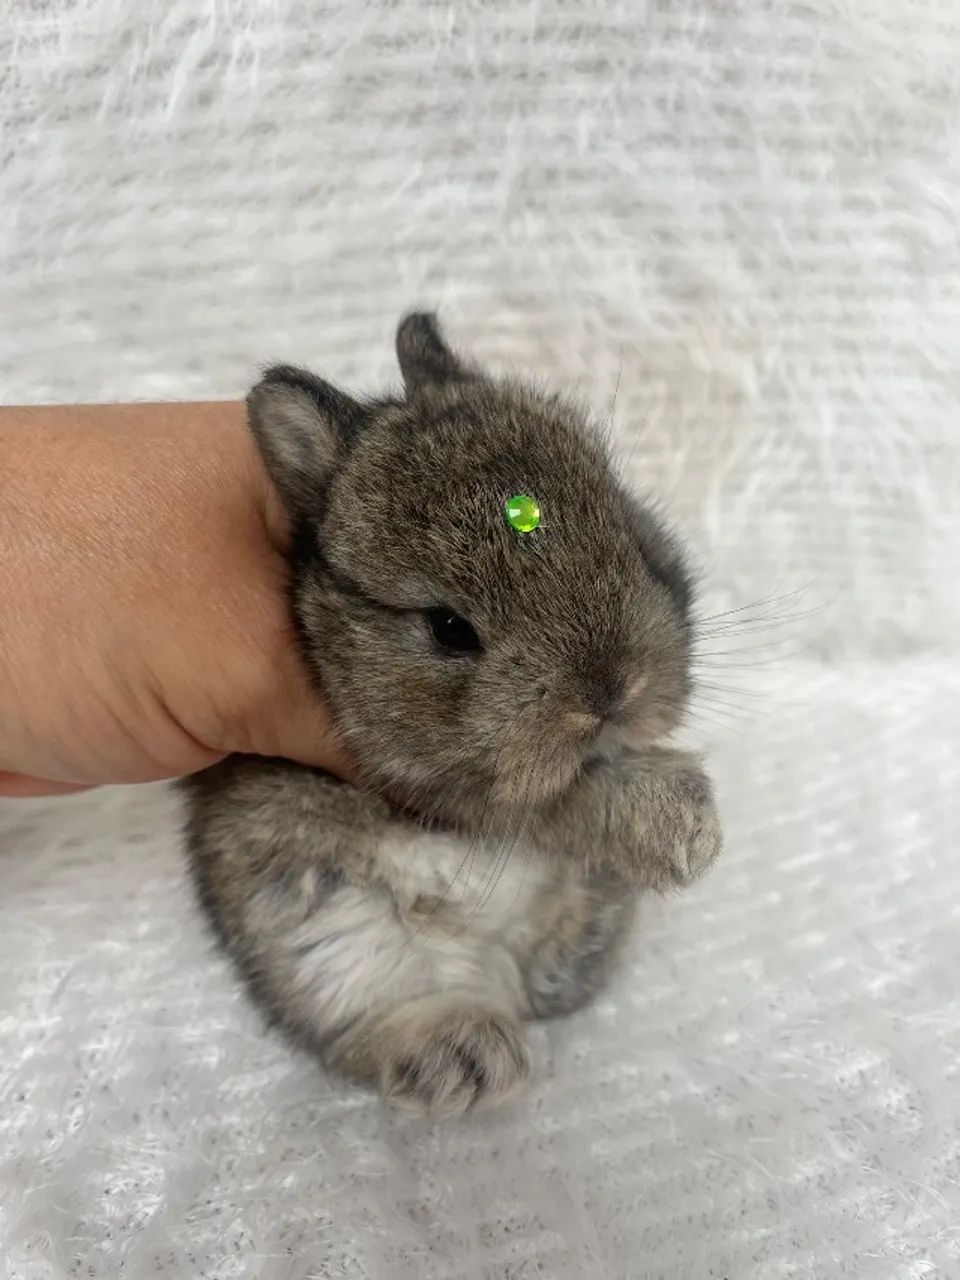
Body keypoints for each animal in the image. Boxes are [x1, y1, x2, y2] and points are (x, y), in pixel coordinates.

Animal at [183, 313, 721, 1117]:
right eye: (447, 628)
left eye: (627, 527)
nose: (614, 691)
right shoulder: (447, 793)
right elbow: (574, 798)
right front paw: (686, 825)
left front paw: (686, 830)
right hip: (321, 932)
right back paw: (468, 1056)